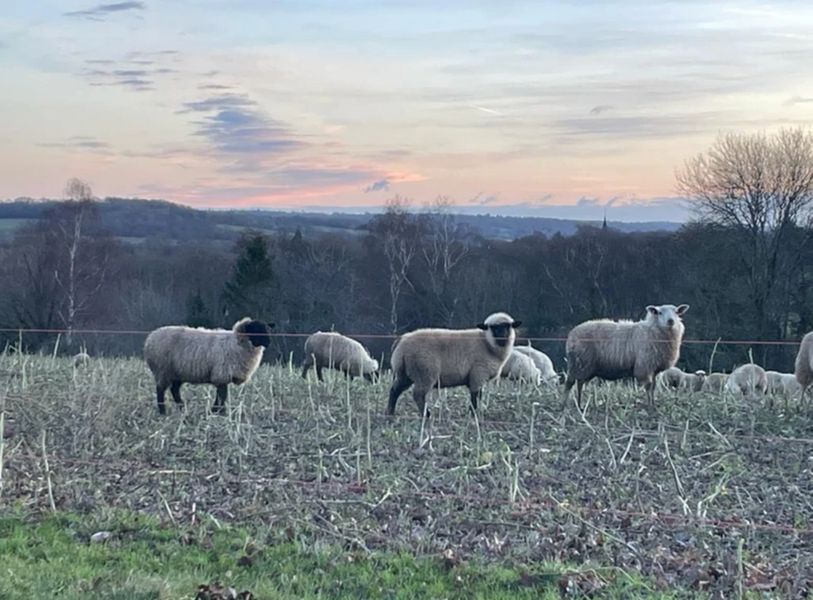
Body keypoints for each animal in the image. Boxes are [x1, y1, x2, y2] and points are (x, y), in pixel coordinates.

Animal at [144, 316, 274, 414]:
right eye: (256, 328)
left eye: (267, 329)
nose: (269, 342)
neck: (238, 343)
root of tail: (150, 338)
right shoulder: (222, 374)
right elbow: (222, 395)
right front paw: (217, 411)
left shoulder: (223, 375)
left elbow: (222, 395)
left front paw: (217, 411)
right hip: (163, 371)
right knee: (160, 390)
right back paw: (163, 411)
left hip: (177, 372)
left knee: (174, 389)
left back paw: (182, 408)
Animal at [386, 314, 520, 418]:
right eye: (492, 327)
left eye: (507, 326)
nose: (501, 335)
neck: (487, 344)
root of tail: (401, 341)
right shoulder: (478, 374)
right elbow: (475, 396)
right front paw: (473, 415)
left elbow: (477, 396)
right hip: (424, 373)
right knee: (418, 394)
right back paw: (426, 415)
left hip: (405, 373)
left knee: (394, 390)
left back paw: (390, 412)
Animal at [560, 302, 688, 410]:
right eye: (660, 312)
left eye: (676, 312)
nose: (671, 321)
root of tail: (572, 333)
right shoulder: (644, 366)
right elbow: (648, 386)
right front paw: (649, 407)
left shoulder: (654, 368)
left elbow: (653, 387)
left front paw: (653, 404)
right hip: (578, 363)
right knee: (569, 383)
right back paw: (564, 405)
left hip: (586, 366)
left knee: (580, 383)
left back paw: (579, 405)